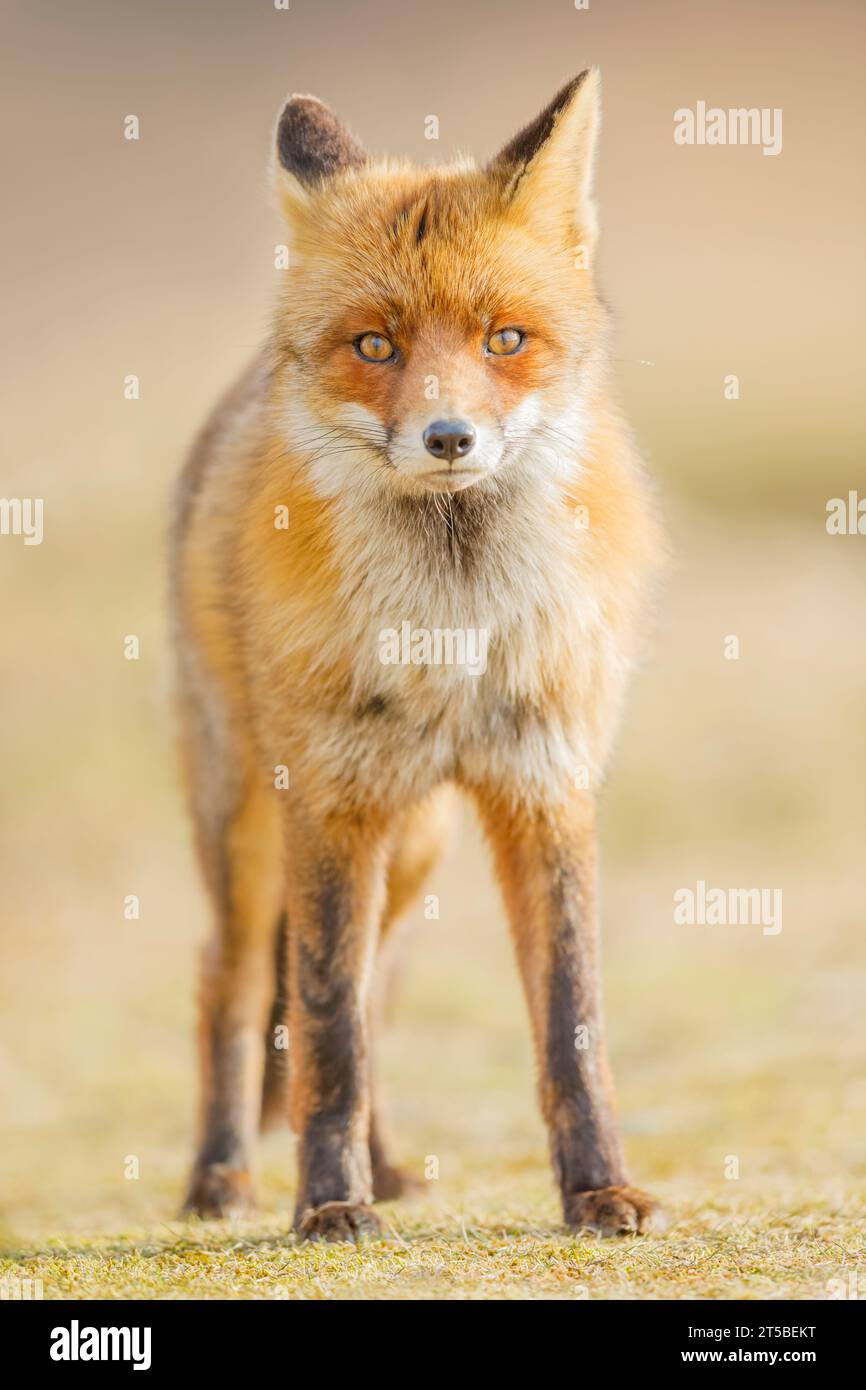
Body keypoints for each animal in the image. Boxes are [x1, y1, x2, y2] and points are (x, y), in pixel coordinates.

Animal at [173, 70, 667, 1245]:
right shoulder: (331, 805)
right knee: (231, 982)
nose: (449, 438)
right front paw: (326, 1203)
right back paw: (220, 1177)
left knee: (374, 984)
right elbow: (324, 1029)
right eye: (375, 347)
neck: (453, 629)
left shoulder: (545, 788)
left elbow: (570, 1028)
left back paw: (389, 1163)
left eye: (504, 339)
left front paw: (597, 1191)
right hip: (252, 827)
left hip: (417, 847)